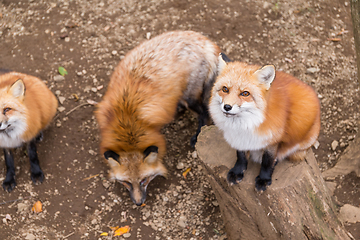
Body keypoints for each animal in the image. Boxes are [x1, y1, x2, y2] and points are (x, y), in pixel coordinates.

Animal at [94, 30, 221, 206]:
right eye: (127, 182)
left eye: (144, 180)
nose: (138, 203)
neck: (127, 119)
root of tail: (203, 40)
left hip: (190, 96)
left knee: (205, 112)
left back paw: (196, 135)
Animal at [208, 54, 320, 191]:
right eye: (225, 89)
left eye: (245, 93)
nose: (227, 107)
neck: (246, 124)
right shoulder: (239, 139)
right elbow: (240, 156)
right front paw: (238, 171)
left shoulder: (272, 140)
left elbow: (267, 161)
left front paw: (264, 179)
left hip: (303, 144)